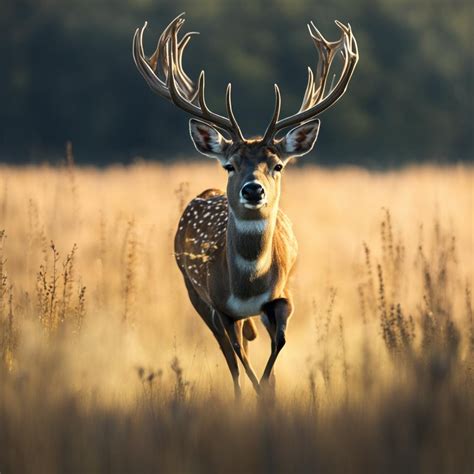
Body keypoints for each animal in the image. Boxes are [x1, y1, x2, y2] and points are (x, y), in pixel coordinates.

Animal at [131, 12, 358, 398]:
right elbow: (239, 360)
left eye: (277, 165)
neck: (248, 285)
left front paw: (270, 395)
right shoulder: (219, 306)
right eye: (230, 165)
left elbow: (276, 348)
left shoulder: (282, 296)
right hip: (192, 292)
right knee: (231, 357)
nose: (253, 190)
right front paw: (252, 394)